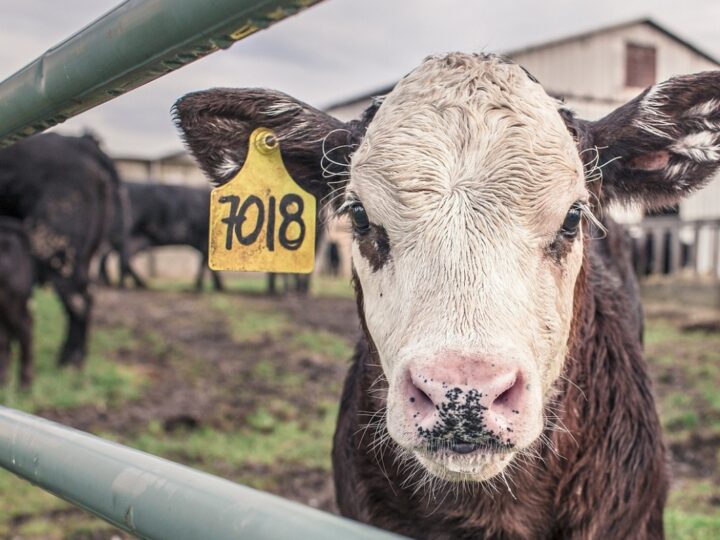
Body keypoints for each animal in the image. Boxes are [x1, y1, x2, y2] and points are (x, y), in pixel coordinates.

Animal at [0, 132, 121, 368]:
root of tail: (82, 143)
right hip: (82, 254)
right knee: (86, 296)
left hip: (54, 248)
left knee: (77, 300)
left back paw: (69, 360)